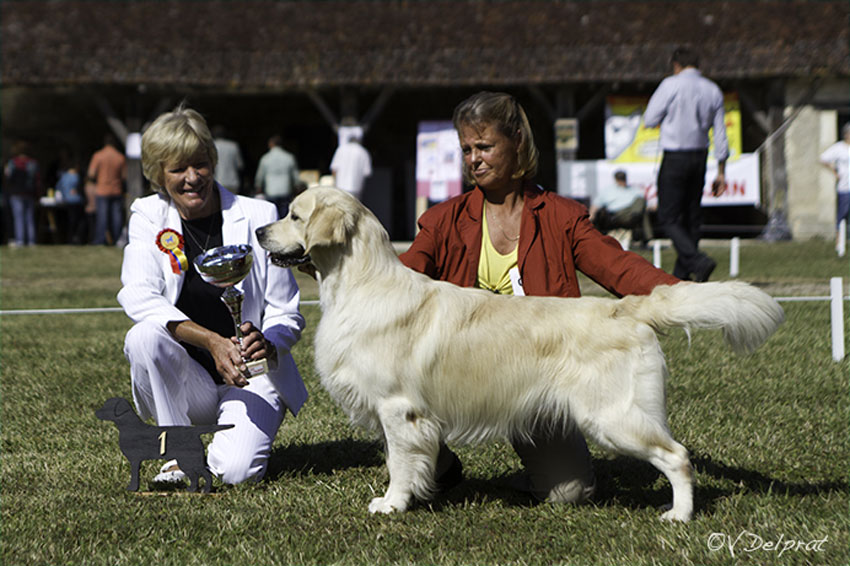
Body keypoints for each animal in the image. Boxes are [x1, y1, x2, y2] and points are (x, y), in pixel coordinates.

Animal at [256, 189, 780, 524]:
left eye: (294, 215)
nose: (259, 230)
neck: (361, 284)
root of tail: (626, 307)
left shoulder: (399, 408)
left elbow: (400, 464)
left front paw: (393, 504)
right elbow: (399, 459)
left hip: (613, 416)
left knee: (678, 457)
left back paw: (680, 514)